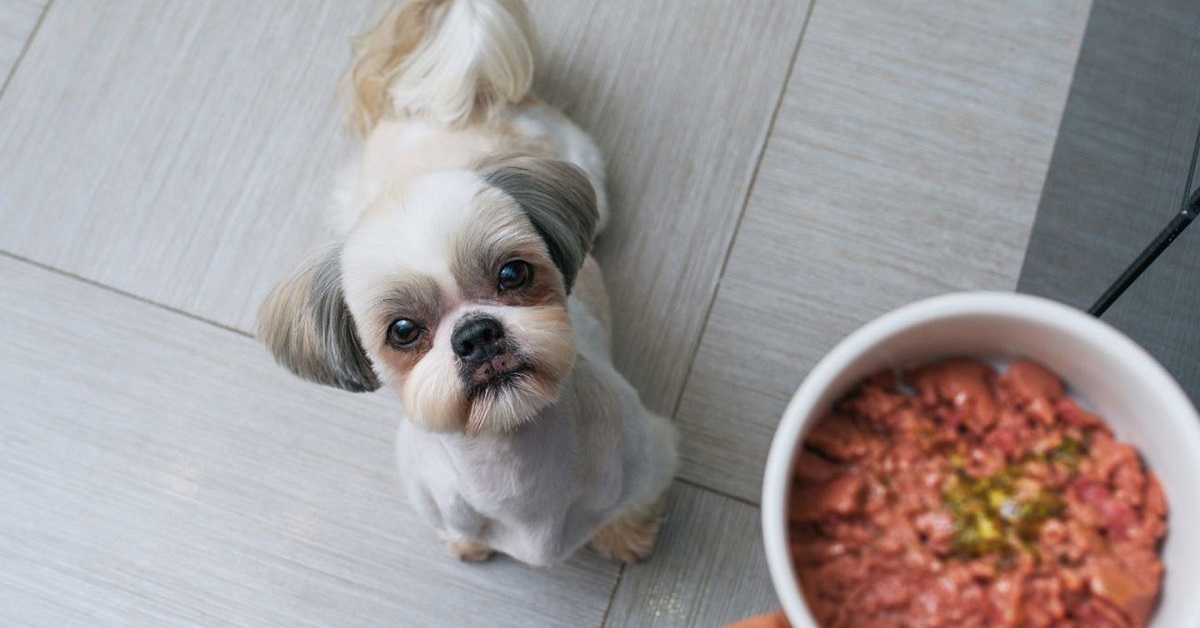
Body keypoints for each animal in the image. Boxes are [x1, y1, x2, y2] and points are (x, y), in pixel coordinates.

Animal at [259, 0, 681, 566]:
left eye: (513, 273)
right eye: (402, 330)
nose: (476, 334)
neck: (515, 467)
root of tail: (449, 105)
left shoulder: (650, 459)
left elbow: (631, 507)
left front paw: (625, 539)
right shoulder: (429, 495)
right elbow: (458, 531)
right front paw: (469, 547)